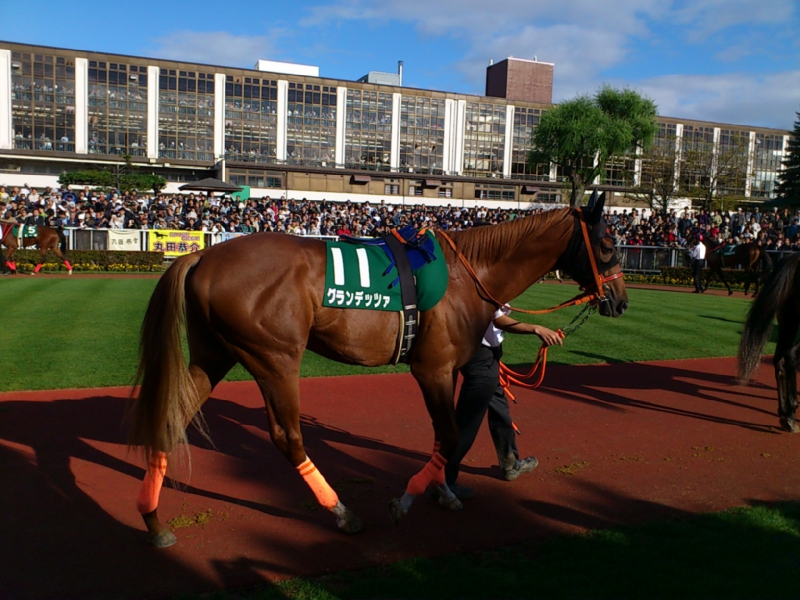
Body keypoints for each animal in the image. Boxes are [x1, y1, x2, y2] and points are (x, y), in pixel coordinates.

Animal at [127, 192, 628, 548]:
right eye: (607, 244)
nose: (620, 300)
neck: (470, 274)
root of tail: (202, 256)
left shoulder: (449, 369)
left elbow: (450, 432)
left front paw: (447, 491)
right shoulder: (431, 368)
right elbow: (449, 434)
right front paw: (408, 500)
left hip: (214, 354)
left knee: (172, 419)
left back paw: (153, 520)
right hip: (274, 359)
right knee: (288, 437)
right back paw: (341, 512)